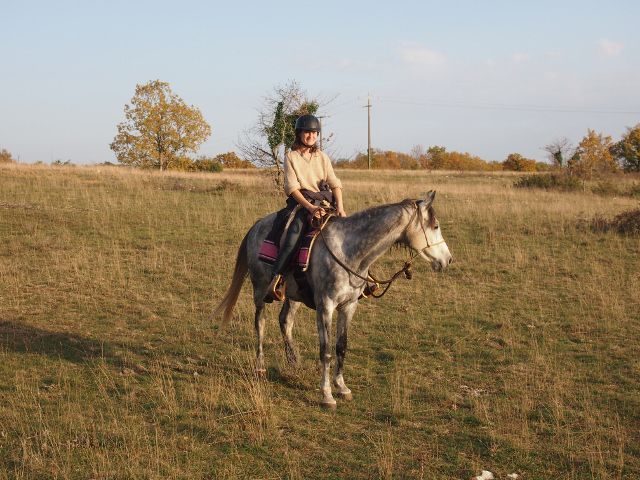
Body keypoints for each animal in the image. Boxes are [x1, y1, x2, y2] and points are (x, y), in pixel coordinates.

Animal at [214, 190, 452, 408]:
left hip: (293, 295)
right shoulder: (325, 307)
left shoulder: (349, 306)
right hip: (260, 290)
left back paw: (294, 362)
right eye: (436, 226)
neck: (349, 252)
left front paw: (342, 387)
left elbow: (341, 346)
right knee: (260, 324)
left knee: (285, 321)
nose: (448, 260)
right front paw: (327, 394)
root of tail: (256, 226)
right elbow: (326, 350)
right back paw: (260, 366)